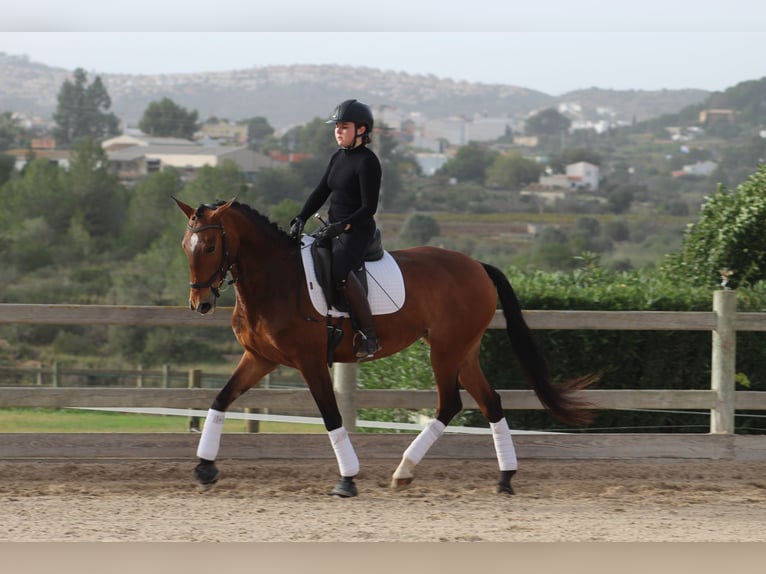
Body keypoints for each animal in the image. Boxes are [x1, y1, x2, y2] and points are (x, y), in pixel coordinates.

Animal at [176, 198, 600, 500]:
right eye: (186, 245)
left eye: (210, 246)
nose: (201, 304)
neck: (277, 279)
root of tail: (477, 265)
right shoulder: (259, 358)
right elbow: (220, 399)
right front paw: (204, 468)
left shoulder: (310, 362)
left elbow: (331, 416)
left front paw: (347, 479)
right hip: (463, 351)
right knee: (490, 401)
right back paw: (505, 477)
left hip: (444, 351)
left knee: (450, 403)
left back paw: (405, 470)